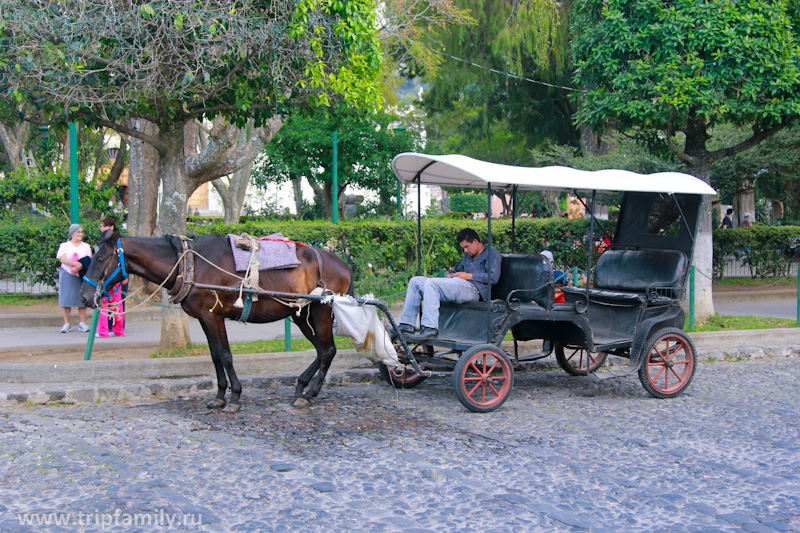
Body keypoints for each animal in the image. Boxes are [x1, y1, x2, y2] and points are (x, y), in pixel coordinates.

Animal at [81, 229, 354, 412]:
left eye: (101, 259)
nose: (84, 296)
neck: (189, 263)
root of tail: (341, 263)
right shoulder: (204, 318)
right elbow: (214, 355)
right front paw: (220, 394)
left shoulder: (214, 316)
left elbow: (225, 355)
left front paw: (234, 396)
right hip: (300, 315)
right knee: (321, 349)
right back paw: (302, 386)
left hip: (319, 312)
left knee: (327, 350)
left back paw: (309, 393)